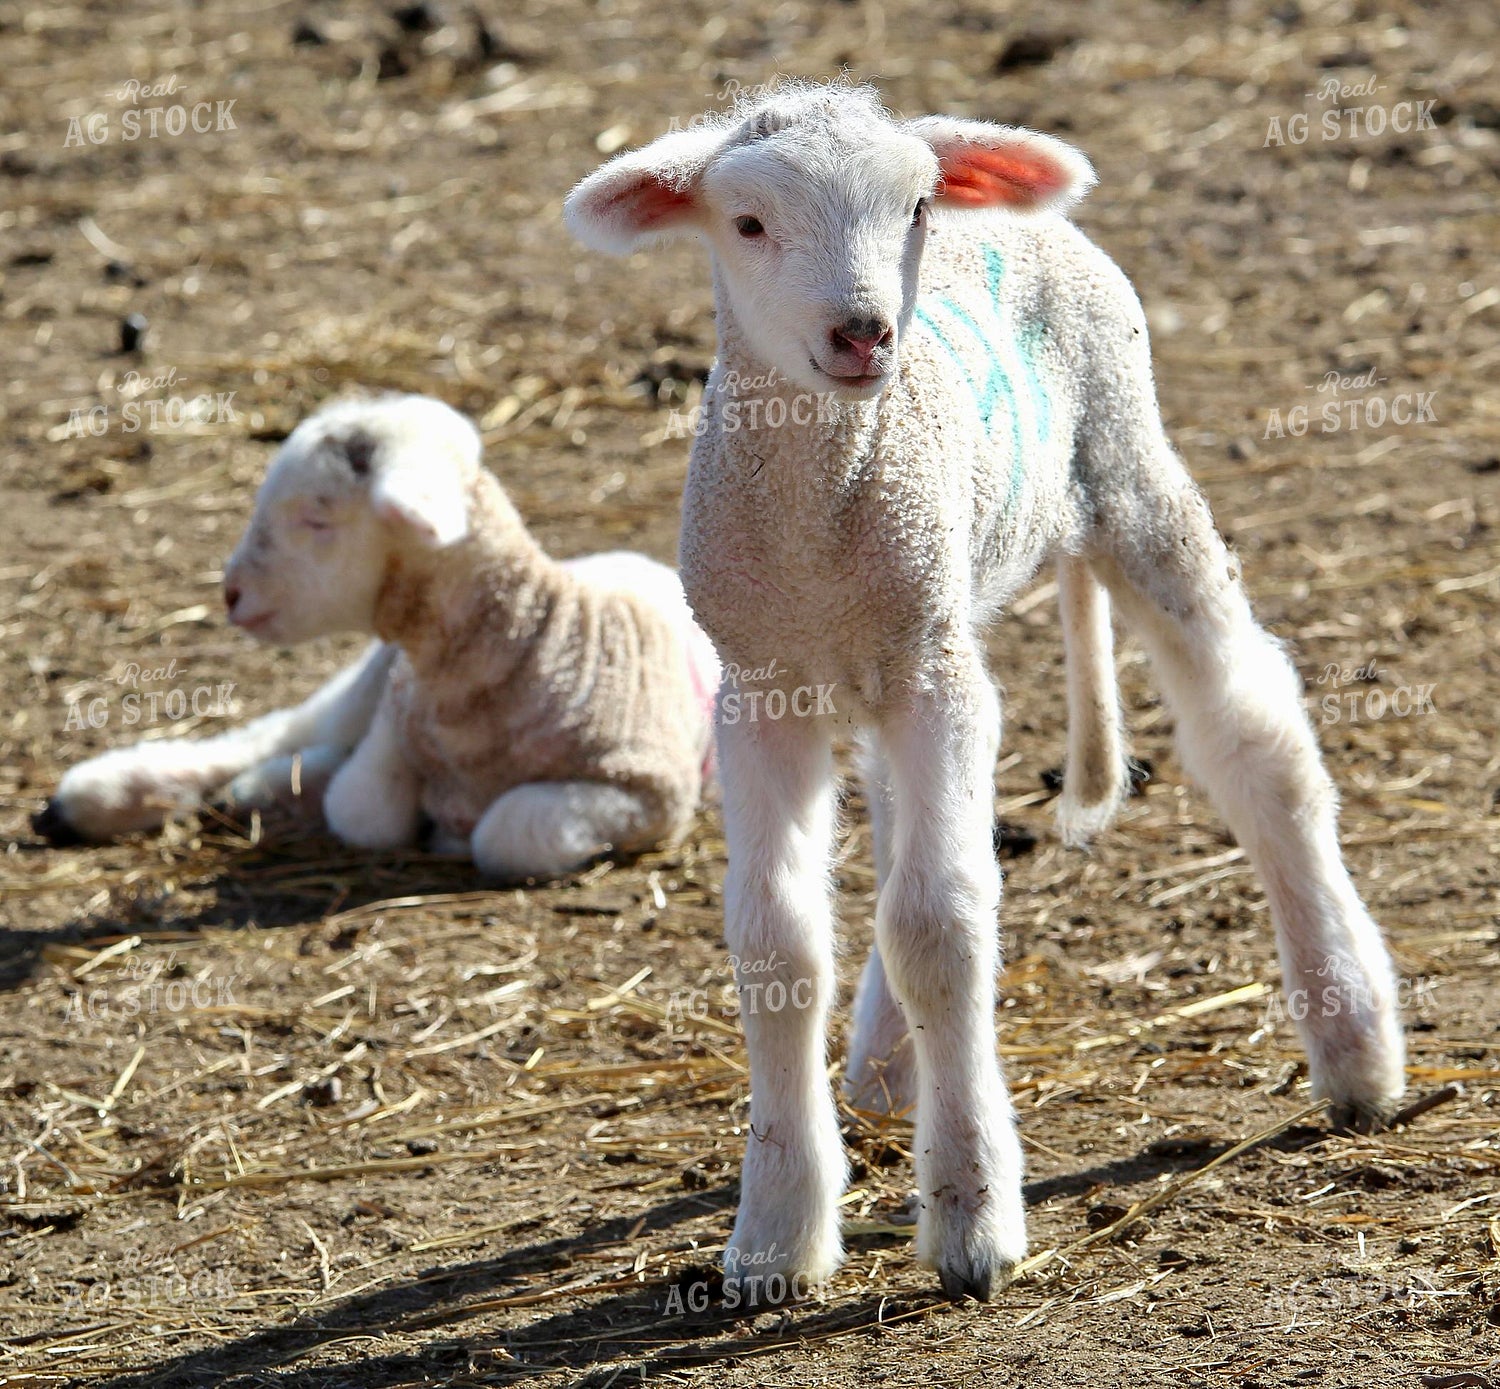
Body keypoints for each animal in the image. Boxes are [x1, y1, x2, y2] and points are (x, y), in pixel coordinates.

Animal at [36, 395, 720, 881]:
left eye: (317, 518)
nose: (230, 593)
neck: (541, 642)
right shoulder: (395, 718)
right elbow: (363, 808)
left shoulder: (653, 790)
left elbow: (507, 832)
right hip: (364, 682)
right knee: (268, 737)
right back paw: (92, 798)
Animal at [566, 81, 1407, 1302]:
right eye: (749, 224)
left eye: (914, 205)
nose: (865, 331)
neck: (818, 528)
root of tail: (1028, 219)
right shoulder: (765, 686)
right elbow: (778, 944)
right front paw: (775, 1229)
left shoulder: (933, 676)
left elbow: (942, 925)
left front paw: (971, 1217)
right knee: (905, 824)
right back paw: (884, 1066)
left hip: (1127, 474)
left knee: (1258, 742)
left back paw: (1356, 1047)